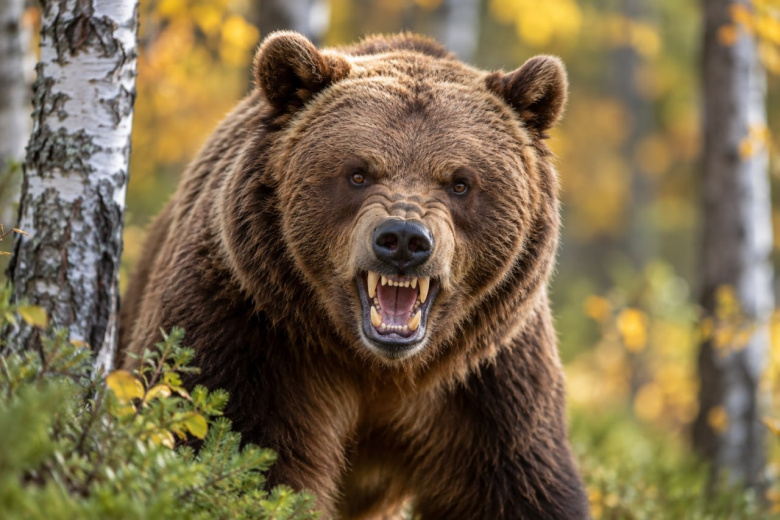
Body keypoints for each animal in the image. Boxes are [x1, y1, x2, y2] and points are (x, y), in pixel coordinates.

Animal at [118, 31, 589, 519]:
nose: (403, 239)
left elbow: (515, 486)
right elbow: (235, 449)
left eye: (460, 182)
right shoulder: (250, 332)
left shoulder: (490, 382)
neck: (378, 370)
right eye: (358, 173)